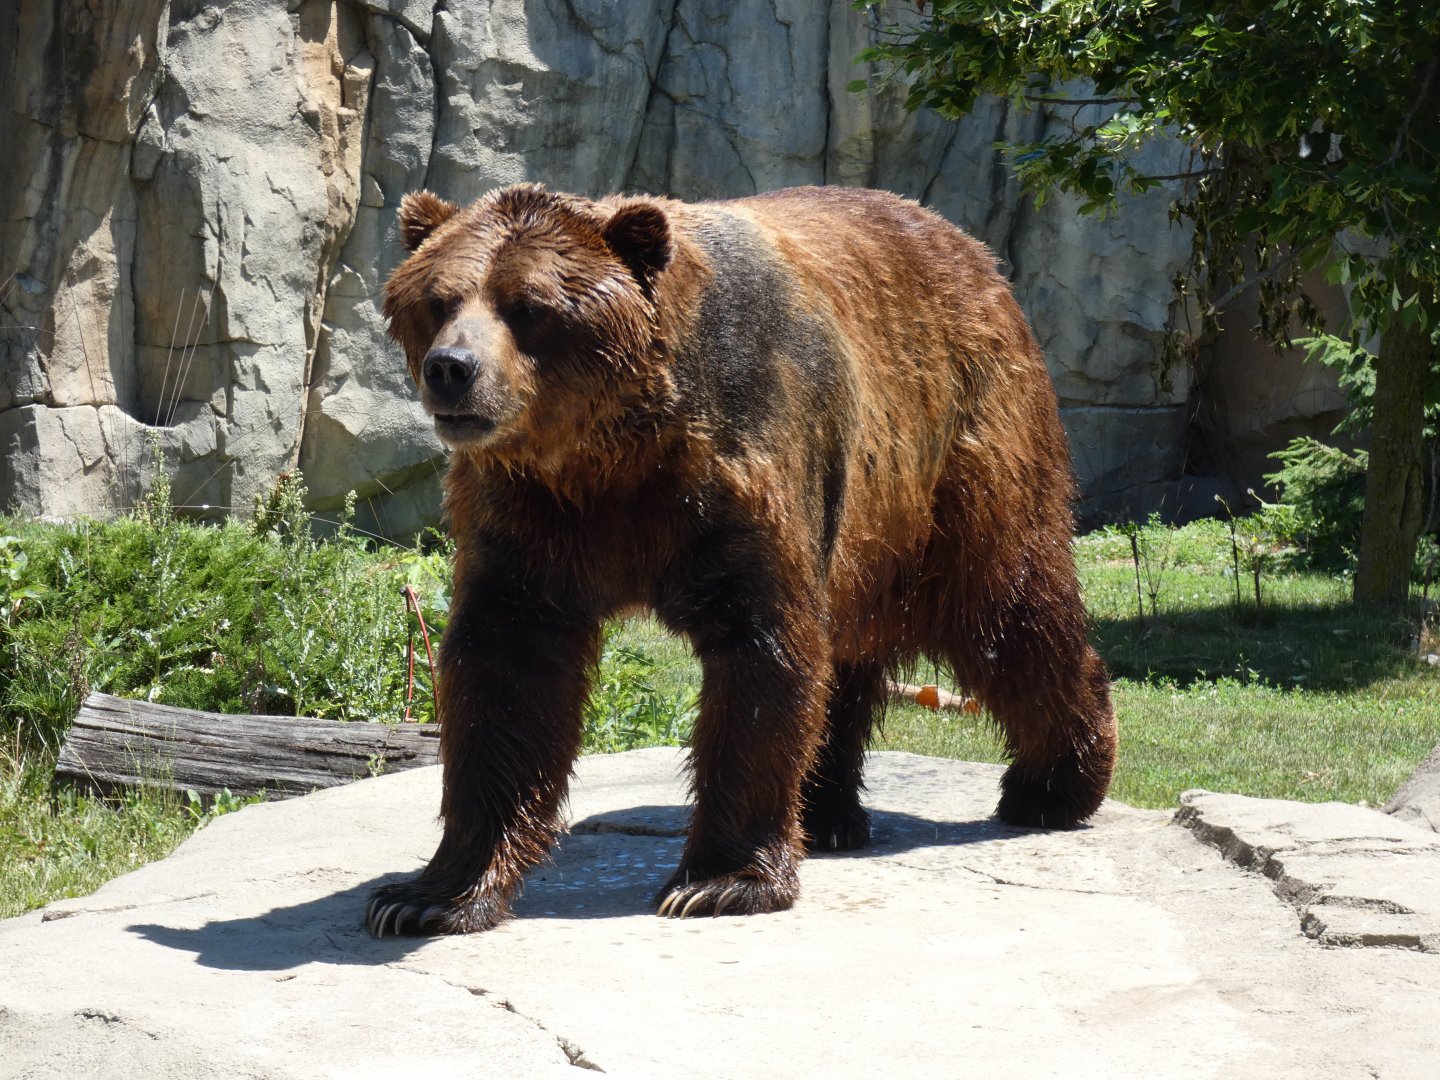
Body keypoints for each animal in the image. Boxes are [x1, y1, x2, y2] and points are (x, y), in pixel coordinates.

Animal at [366, 183, 1117, 936]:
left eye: (529, 306)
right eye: (438, 299)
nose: (451, 370)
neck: (608, 453)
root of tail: (971, 250)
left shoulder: (739, 462)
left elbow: (762, 649)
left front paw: (718, 883)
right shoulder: (530, 515)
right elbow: (505, 672)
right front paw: (427, 895)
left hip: (961, 452)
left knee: (1009, 611)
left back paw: (1052, 787)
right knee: (851, 656)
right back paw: (830, 813)